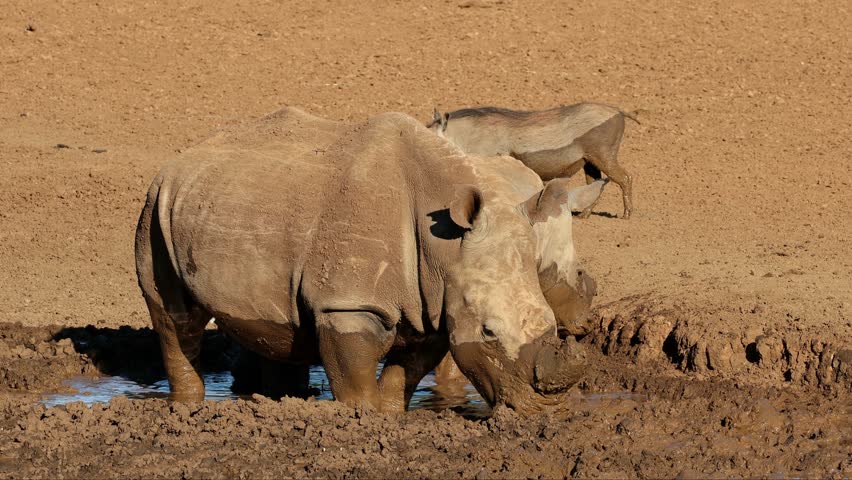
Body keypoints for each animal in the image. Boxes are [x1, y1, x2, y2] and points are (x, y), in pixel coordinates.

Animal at [135, 108, 600, 412]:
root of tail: (182, 155)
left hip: (234, 200)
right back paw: (187, 406)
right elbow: (356, 380)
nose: (546, 411)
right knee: (175, 318)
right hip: (156, 205)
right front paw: (361, 420)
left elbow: (402, 376)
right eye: (487, 331)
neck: (446, 248)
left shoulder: (434, 305)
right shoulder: (348, 305)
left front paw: (390, 418)